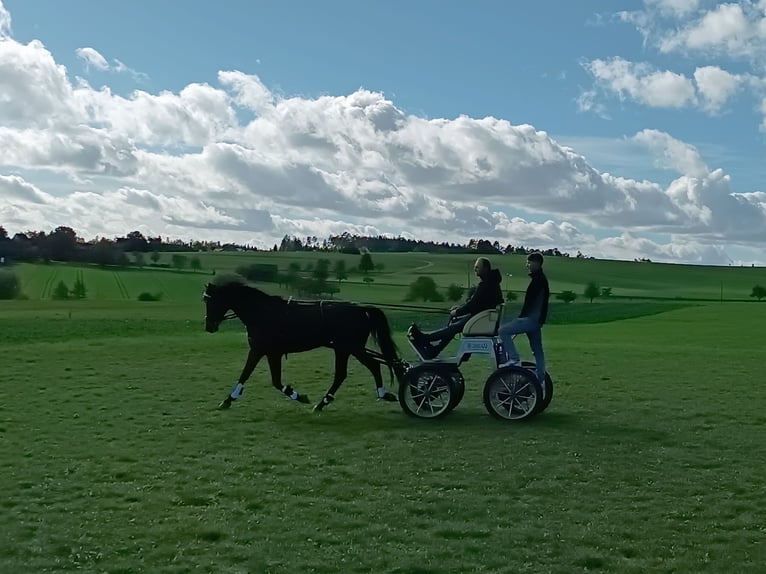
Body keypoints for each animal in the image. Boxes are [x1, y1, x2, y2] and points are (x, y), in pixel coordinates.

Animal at [204, 278, 404, 414]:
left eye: (210, 301)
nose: (209, 326)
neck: (262, 312)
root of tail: (362, 309)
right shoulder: (271, 353)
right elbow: (275, 381)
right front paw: (298, 396)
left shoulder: (259, 350)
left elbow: (247, 375)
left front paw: (228, 400)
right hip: (343, 349)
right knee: (343, 374)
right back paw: (323, 403)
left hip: (352, 348)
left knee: (373, 365)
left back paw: (382, 393)